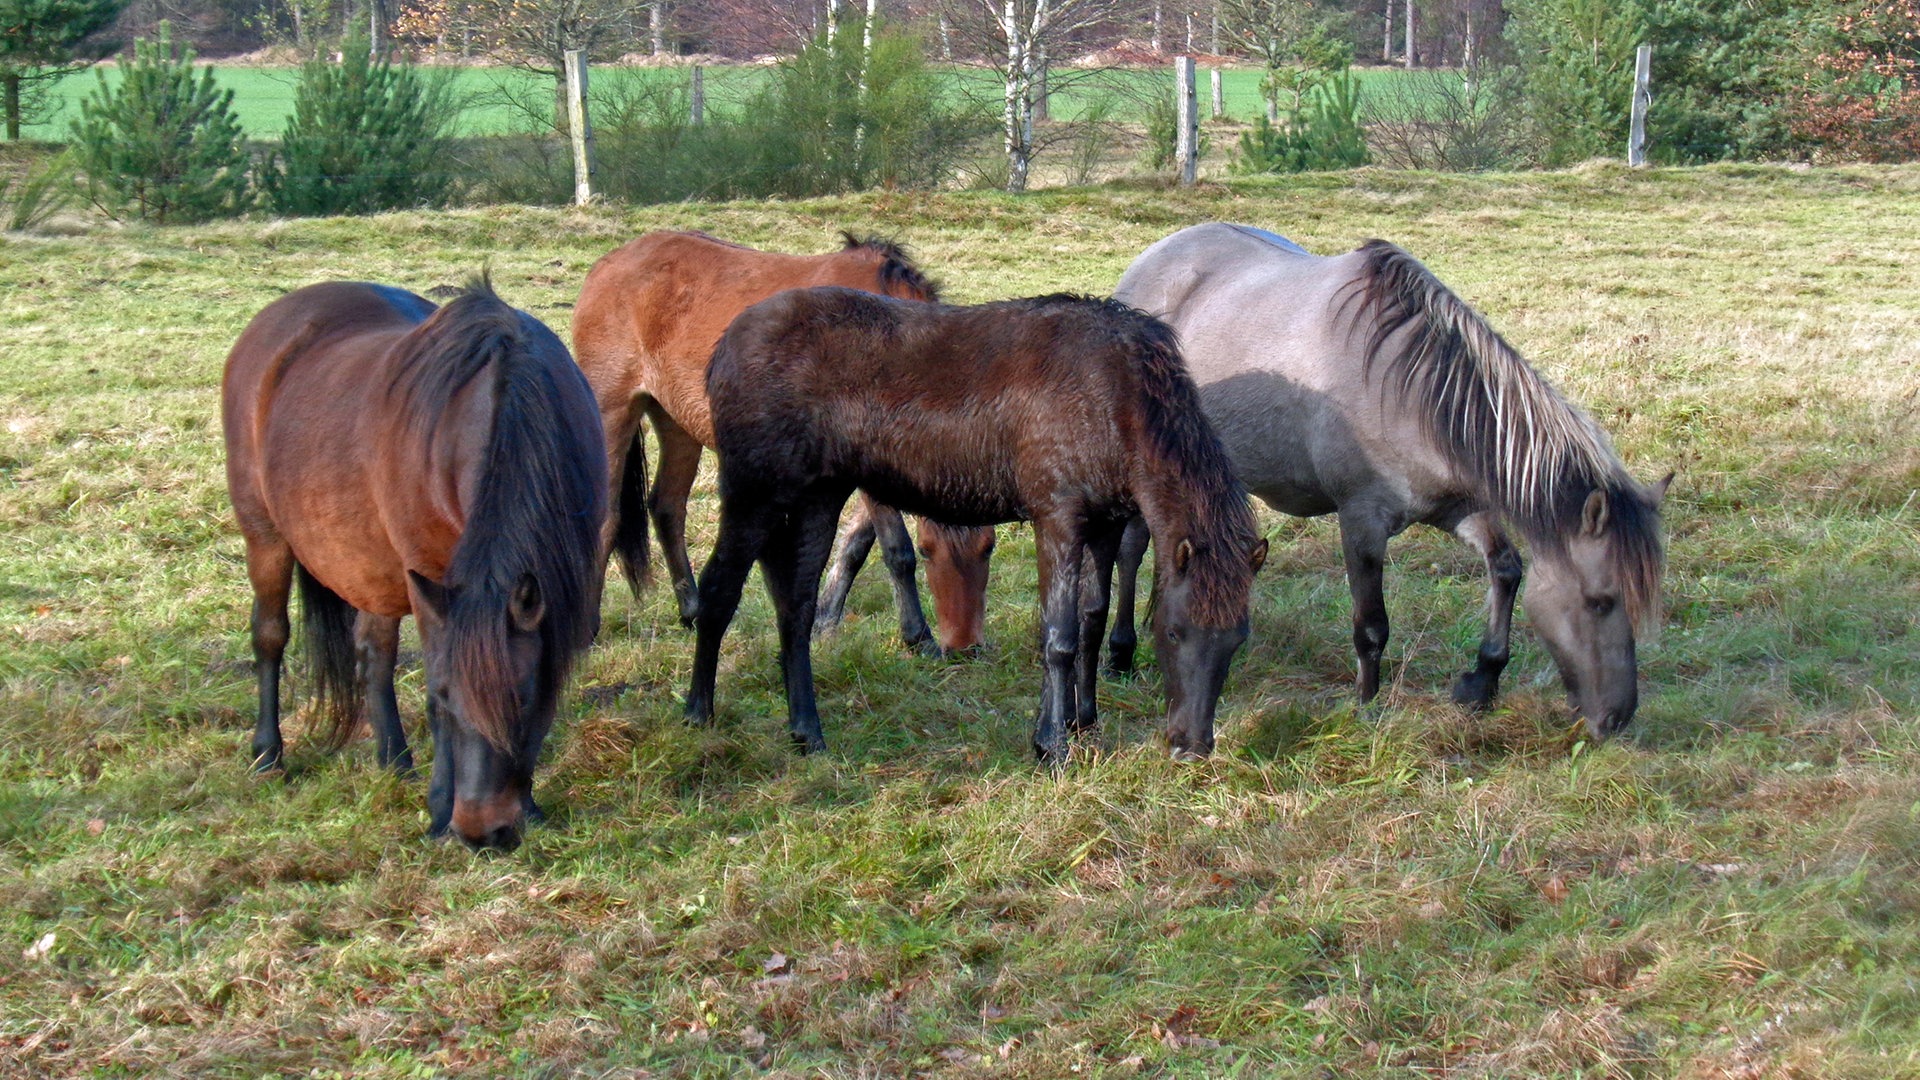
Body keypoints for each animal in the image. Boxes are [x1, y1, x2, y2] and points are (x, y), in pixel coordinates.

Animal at [222, 278, 606, 849]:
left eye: (522, 700)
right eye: (448, 697)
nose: (482, 832)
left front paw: (530, 806)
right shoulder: (430, 575)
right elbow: (430, 678)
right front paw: (441, 810)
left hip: (373, 566)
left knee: (373, 653)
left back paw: (394, 761)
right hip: (266, 536)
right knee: (270, 635)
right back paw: (268, 754)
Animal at [564, 231, 990, 653]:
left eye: (989, 548)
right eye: (928, 550)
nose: (965, 646)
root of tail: (609, 264)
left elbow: (856, 545)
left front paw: (825, 619)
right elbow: (895, 550)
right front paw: (917, 635)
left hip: (675, 420)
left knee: (667, 507)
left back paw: (692, 610)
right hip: (613, 408)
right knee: (607, 518)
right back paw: (587, 630)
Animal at [683, 286, 1267, 757]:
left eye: (1237, 639)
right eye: (1172, 631)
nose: (1191, 747)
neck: (1113, 396)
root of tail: (728, 342)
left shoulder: (1104, 526)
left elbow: (1093, 621)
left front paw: (1084, 721)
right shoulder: (1056, 518)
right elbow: (1058, 636)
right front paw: (1051, 743)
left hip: (816, 499)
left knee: (796, 610)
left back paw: (807, 731)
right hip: (754, 495)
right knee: (719, 591)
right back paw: (698, 712)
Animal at [1113, 222, 1666, 734]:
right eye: (1600, 602)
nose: (1617, 719)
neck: (1409, 389)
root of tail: (1153, 258)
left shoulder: (1458, 507)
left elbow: (1506, 569)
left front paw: (1481, 682)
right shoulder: (1362, 520)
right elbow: (1371, 625)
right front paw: (1366, 707)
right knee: (1130, 552)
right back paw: (1121, 655)